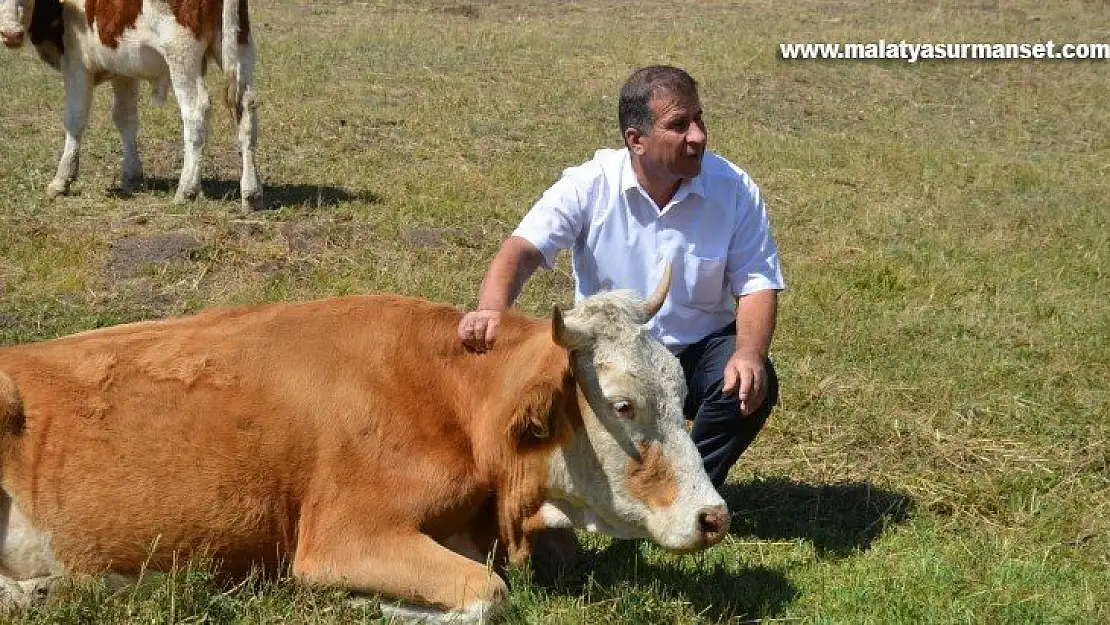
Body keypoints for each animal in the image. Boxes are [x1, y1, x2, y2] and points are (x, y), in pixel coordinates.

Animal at [0, 0, 261, 209]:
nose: (11, 35)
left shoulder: (77, 65)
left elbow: (75, 119)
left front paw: (62, 180)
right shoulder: (123, 69)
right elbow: (125, 119)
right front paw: (132, 175)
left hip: (181, 54)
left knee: (196, 113)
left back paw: (186, 190)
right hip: (238, 46)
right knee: (246, 108)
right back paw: (251, 192)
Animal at [0, 267, 728, 621]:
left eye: (681, 390)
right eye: (624, 404)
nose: (714, 516)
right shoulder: (341, 536)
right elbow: (489, 594)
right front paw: (355, 601)